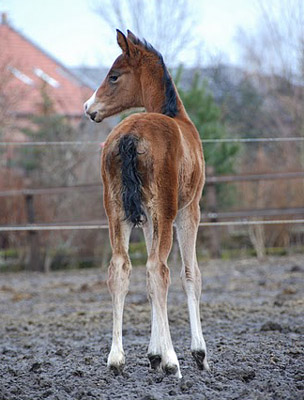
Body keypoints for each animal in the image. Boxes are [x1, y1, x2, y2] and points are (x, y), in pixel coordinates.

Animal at [84, 29, 210, 376]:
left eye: (114, 76)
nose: (88, 107)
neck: (176, 117)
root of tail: (129, 137)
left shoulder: (146, 219)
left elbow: (148, 282)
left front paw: (152, 353)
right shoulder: (188, 211)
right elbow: (189, 274)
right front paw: (197, 354)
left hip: (116, 213)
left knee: (120, 268)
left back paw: (116, 359)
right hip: (165, 213)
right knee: (159, 268)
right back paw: (173, 362)